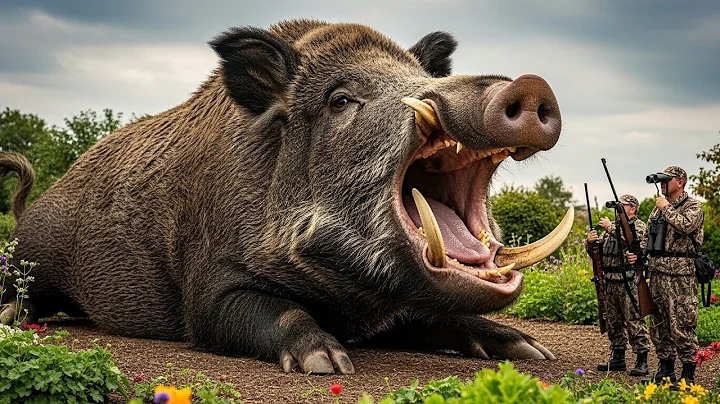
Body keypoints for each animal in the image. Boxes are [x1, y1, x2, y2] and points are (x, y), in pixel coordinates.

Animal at [0, 19, 573, 374]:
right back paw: (10, 317)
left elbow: (445, 315)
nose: (528, 84)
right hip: (30, 259)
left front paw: (532, 352)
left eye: (414, 76)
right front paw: (328, 364)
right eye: (341, 100)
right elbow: (271, 312)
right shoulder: (209, 289)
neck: (352, 307)